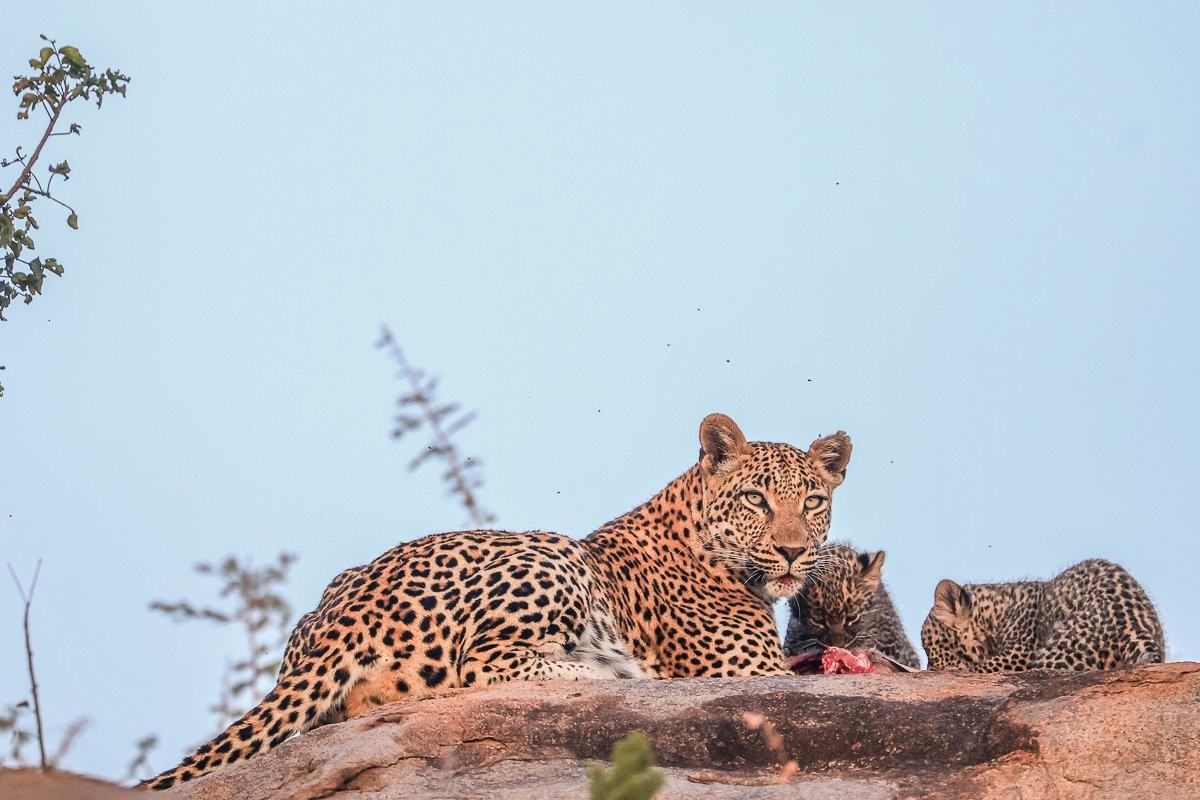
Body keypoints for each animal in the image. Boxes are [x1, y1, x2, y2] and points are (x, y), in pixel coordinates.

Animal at [142, 413, 852, 790]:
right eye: (756, 499)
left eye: (814, 501)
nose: (792, 552)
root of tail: (342, 616)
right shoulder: (747, 667)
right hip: (552, 560)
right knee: (481, 666)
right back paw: (609, 674)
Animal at [921, 558, 1165, 672]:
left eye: (929, 648)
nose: (929, 669)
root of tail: (1132, 622)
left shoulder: (1018, 655)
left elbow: (979, 668)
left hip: (1058, 653)